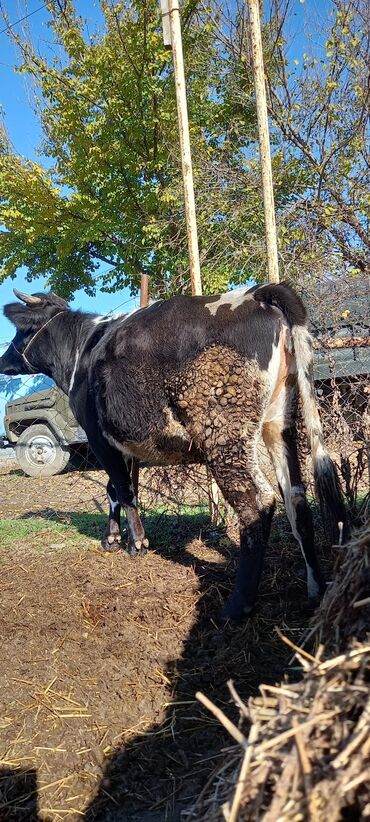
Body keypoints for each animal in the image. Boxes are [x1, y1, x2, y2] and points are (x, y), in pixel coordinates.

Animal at [0, 286, 346, 620]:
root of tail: (258, 292)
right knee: (296, 498)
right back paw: (315, 588)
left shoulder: (99, 437)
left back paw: (237, 606)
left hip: (224, 432)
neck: (81, 349)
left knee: (257, 502)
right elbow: (116, 489)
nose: (3, 360)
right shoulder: (123, 442)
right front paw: (114, 540)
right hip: (278, 423)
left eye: (19, 332)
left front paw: (137, 543)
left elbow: (123, 489)